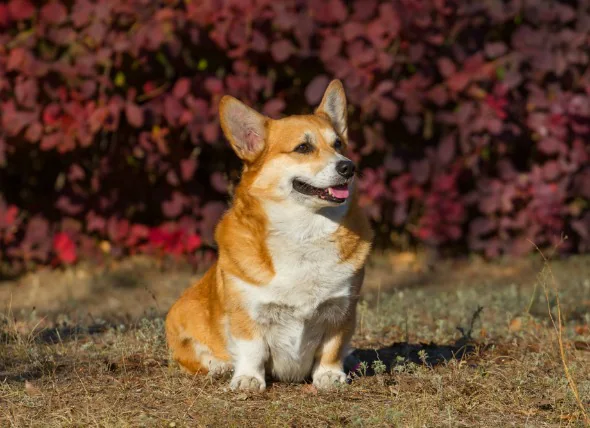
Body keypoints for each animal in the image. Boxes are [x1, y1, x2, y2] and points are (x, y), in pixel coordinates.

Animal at [164, 79, 372, 392]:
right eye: (303, 147)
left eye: (338, 144)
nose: (348, 166)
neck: (304, 232)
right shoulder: (246, 312)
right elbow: (252, 348)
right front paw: (248, 379)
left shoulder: (342, 310)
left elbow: (332, 347)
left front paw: (329, 375)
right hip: (181, 319)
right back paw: (221, 367)